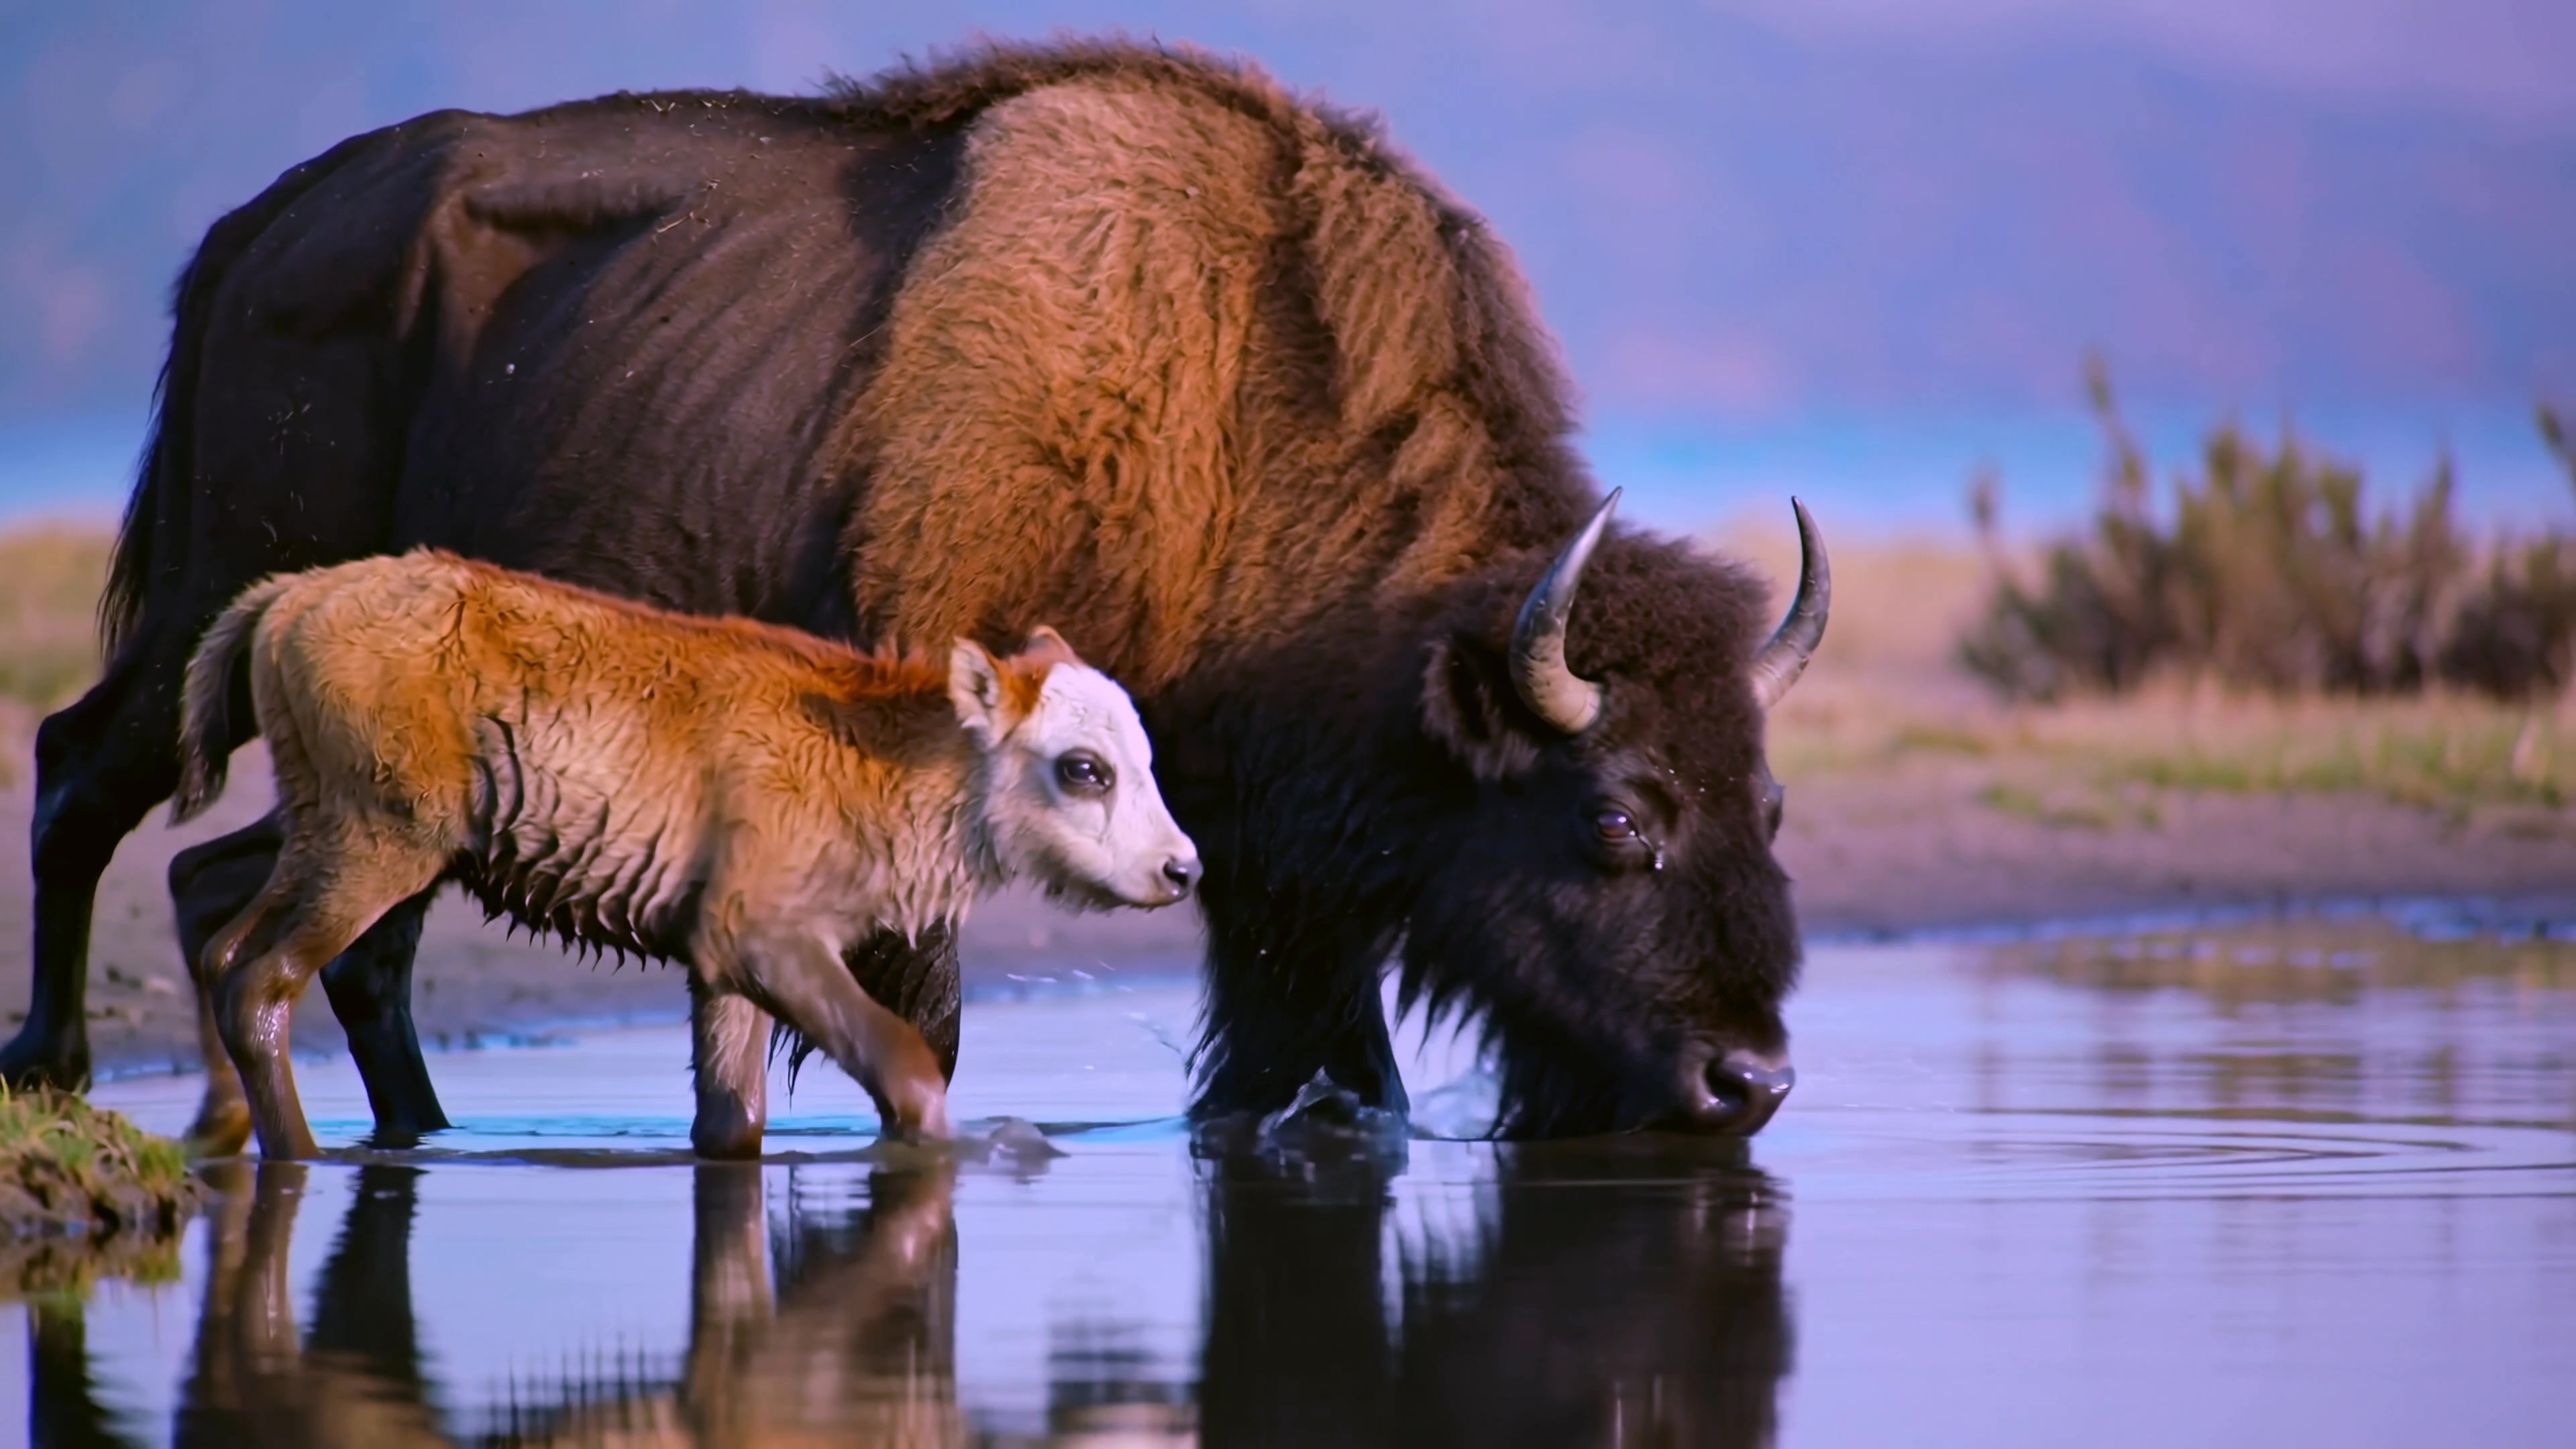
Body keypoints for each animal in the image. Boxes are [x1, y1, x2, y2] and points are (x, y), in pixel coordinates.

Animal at [169, 550, 1199, 1159]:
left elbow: (731, 1118)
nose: (1180, 868)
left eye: (1148, 758)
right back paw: (298, 1153)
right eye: (1083, 768)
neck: (882, 757)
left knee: (207, 906)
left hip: (326, 823)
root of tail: (287, 598)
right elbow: (904, 1060)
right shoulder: (760, 935)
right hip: (381, 840)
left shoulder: (720, 960)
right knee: (260, 978)